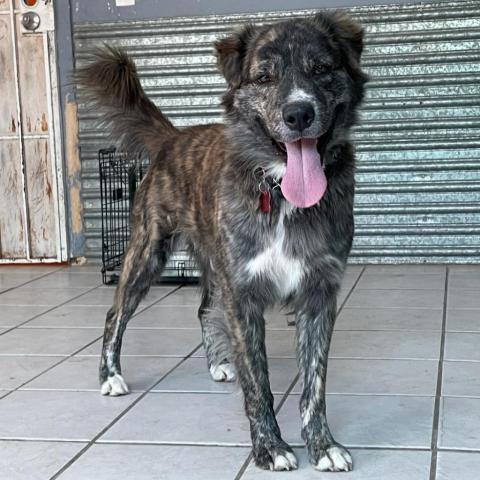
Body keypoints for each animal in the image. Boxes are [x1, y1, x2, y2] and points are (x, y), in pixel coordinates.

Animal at [76, 11, 368, 472]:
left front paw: (322, 446)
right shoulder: (243, 294)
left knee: (202, 309)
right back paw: (111, 377)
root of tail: (173, 138)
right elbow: (258, 383)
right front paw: (270, 448)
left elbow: (315, 384)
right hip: (147, 251)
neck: (281, 192)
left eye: (322, 69)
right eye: (264, 77)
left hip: (214, 262)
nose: (298, 113)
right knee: (114, 314)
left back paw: (218, 364)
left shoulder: (319, 293)